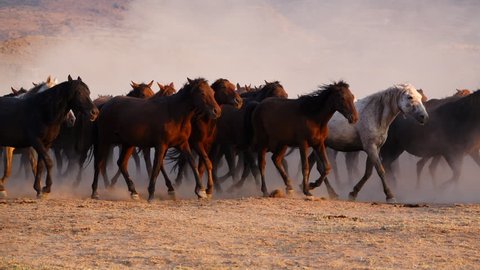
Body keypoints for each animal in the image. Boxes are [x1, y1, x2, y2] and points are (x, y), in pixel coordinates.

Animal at [92, 78, 221, 200]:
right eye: (202, 93)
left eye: (213, 92)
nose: (217, 111)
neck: (174, 113)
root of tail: (105, 105)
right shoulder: (161, 146)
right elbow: (156, 167)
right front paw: (152, 194)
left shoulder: (183, 144)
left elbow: (192, 162)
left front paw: (201, 191)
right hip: (104, 141)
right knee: (99, 163)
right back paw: (95, 192)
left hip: (128, 144)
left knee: (121, 163)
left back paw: (133, 192)